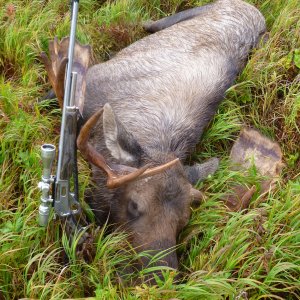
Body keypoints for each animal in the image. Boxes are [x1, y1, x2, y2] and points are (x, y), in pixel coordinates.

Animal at [41, 0, 264, 276]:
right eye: (134, 205)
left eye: (183, 220)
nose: (160, 276)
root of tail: (254, 10)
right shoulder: (89, 78)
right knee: (150, 23)